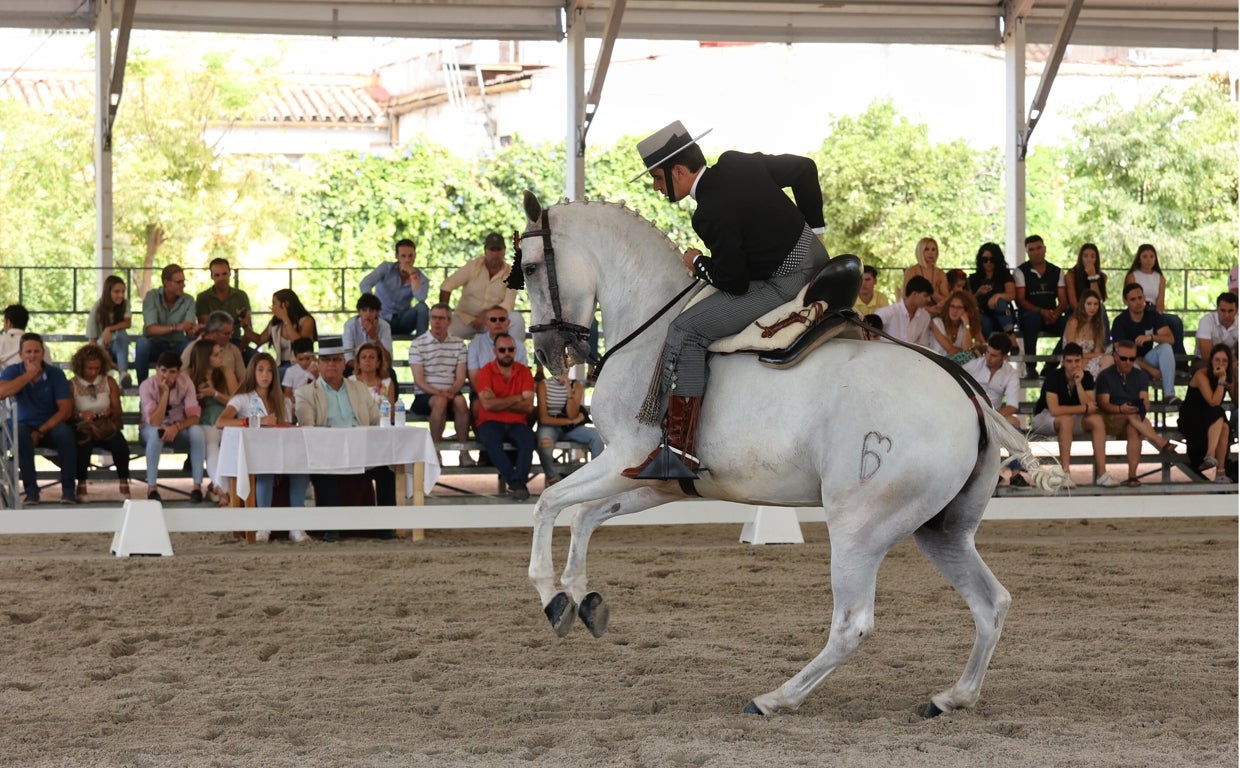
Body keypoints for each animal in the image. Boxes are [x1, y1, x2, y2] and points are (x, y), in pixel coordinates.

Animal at [518, 191, 1061, 714]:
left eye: (528, 268)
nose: (548, 354)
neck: (650, 332)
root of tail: (969, 395)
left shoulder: (622, 457)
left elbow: (549, 504)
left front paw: (552, 597)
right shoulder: (654, 481)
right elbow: (585, 515)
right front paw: (583, 598)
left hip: (859, 529)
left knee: (852, 625)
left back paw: (775, 698)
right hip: (941, 531)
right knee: (991, 604)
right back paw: (953, 697)